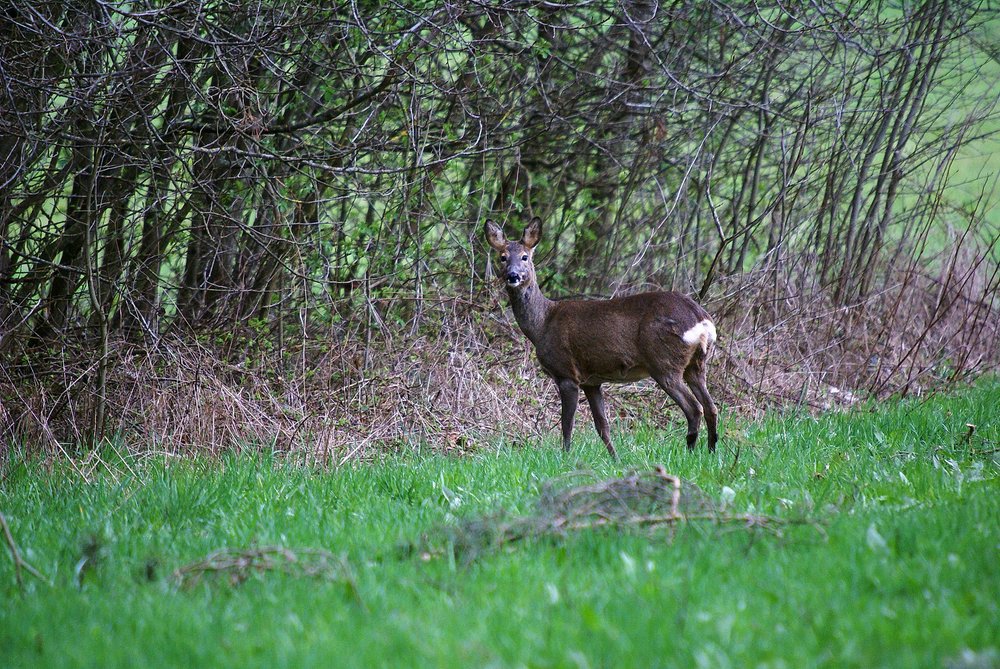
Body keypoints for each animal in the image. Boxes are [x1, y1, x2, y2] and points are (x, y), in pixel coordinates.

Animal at [485, 217, 718, 458]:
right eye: (502, 257)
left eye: (525, 256)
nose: (513, 276)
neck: (542, 323)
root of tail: (701, 319)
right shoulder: (592, 381)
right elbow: (602, 425)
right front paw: (615, 458)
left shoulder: (566, 373)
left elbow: (567, 424)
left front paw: (565, 457)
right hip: (696, 364)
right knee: (711, 407)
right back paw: (711, 451)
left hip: (664, 362)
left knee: (694, 408)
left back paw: (690, 450)